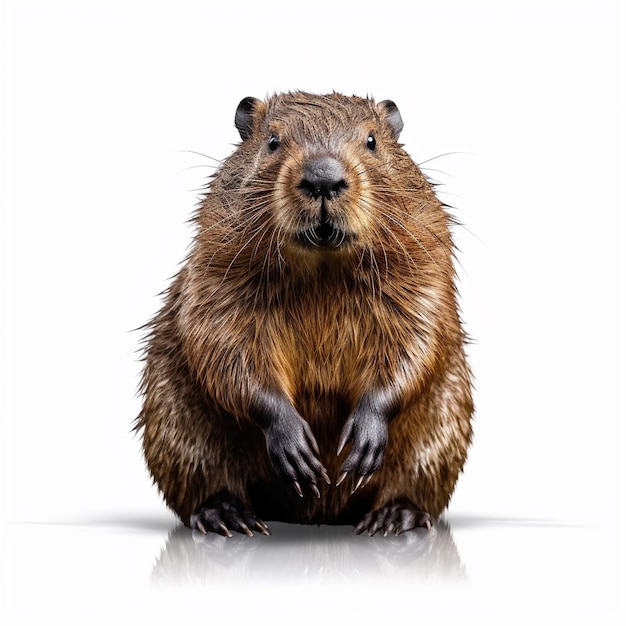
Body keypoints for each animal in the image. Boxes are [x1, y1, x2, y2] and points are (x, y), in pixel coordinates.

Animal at [134, 90, 470, 532]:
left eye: (372, 141)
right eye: (273, 141)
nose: (323, 178)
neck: (322, 271)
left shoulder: (423, 257)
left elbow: (418, 337)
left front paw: (362, 441)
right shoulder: (213, 265)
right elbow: (222, 343)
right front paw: (296, 450)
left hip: (441, 431)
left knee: (413, 481)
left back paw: (393, 518)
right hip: (176, 424)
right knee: (206, 479)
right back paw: (228, 516)